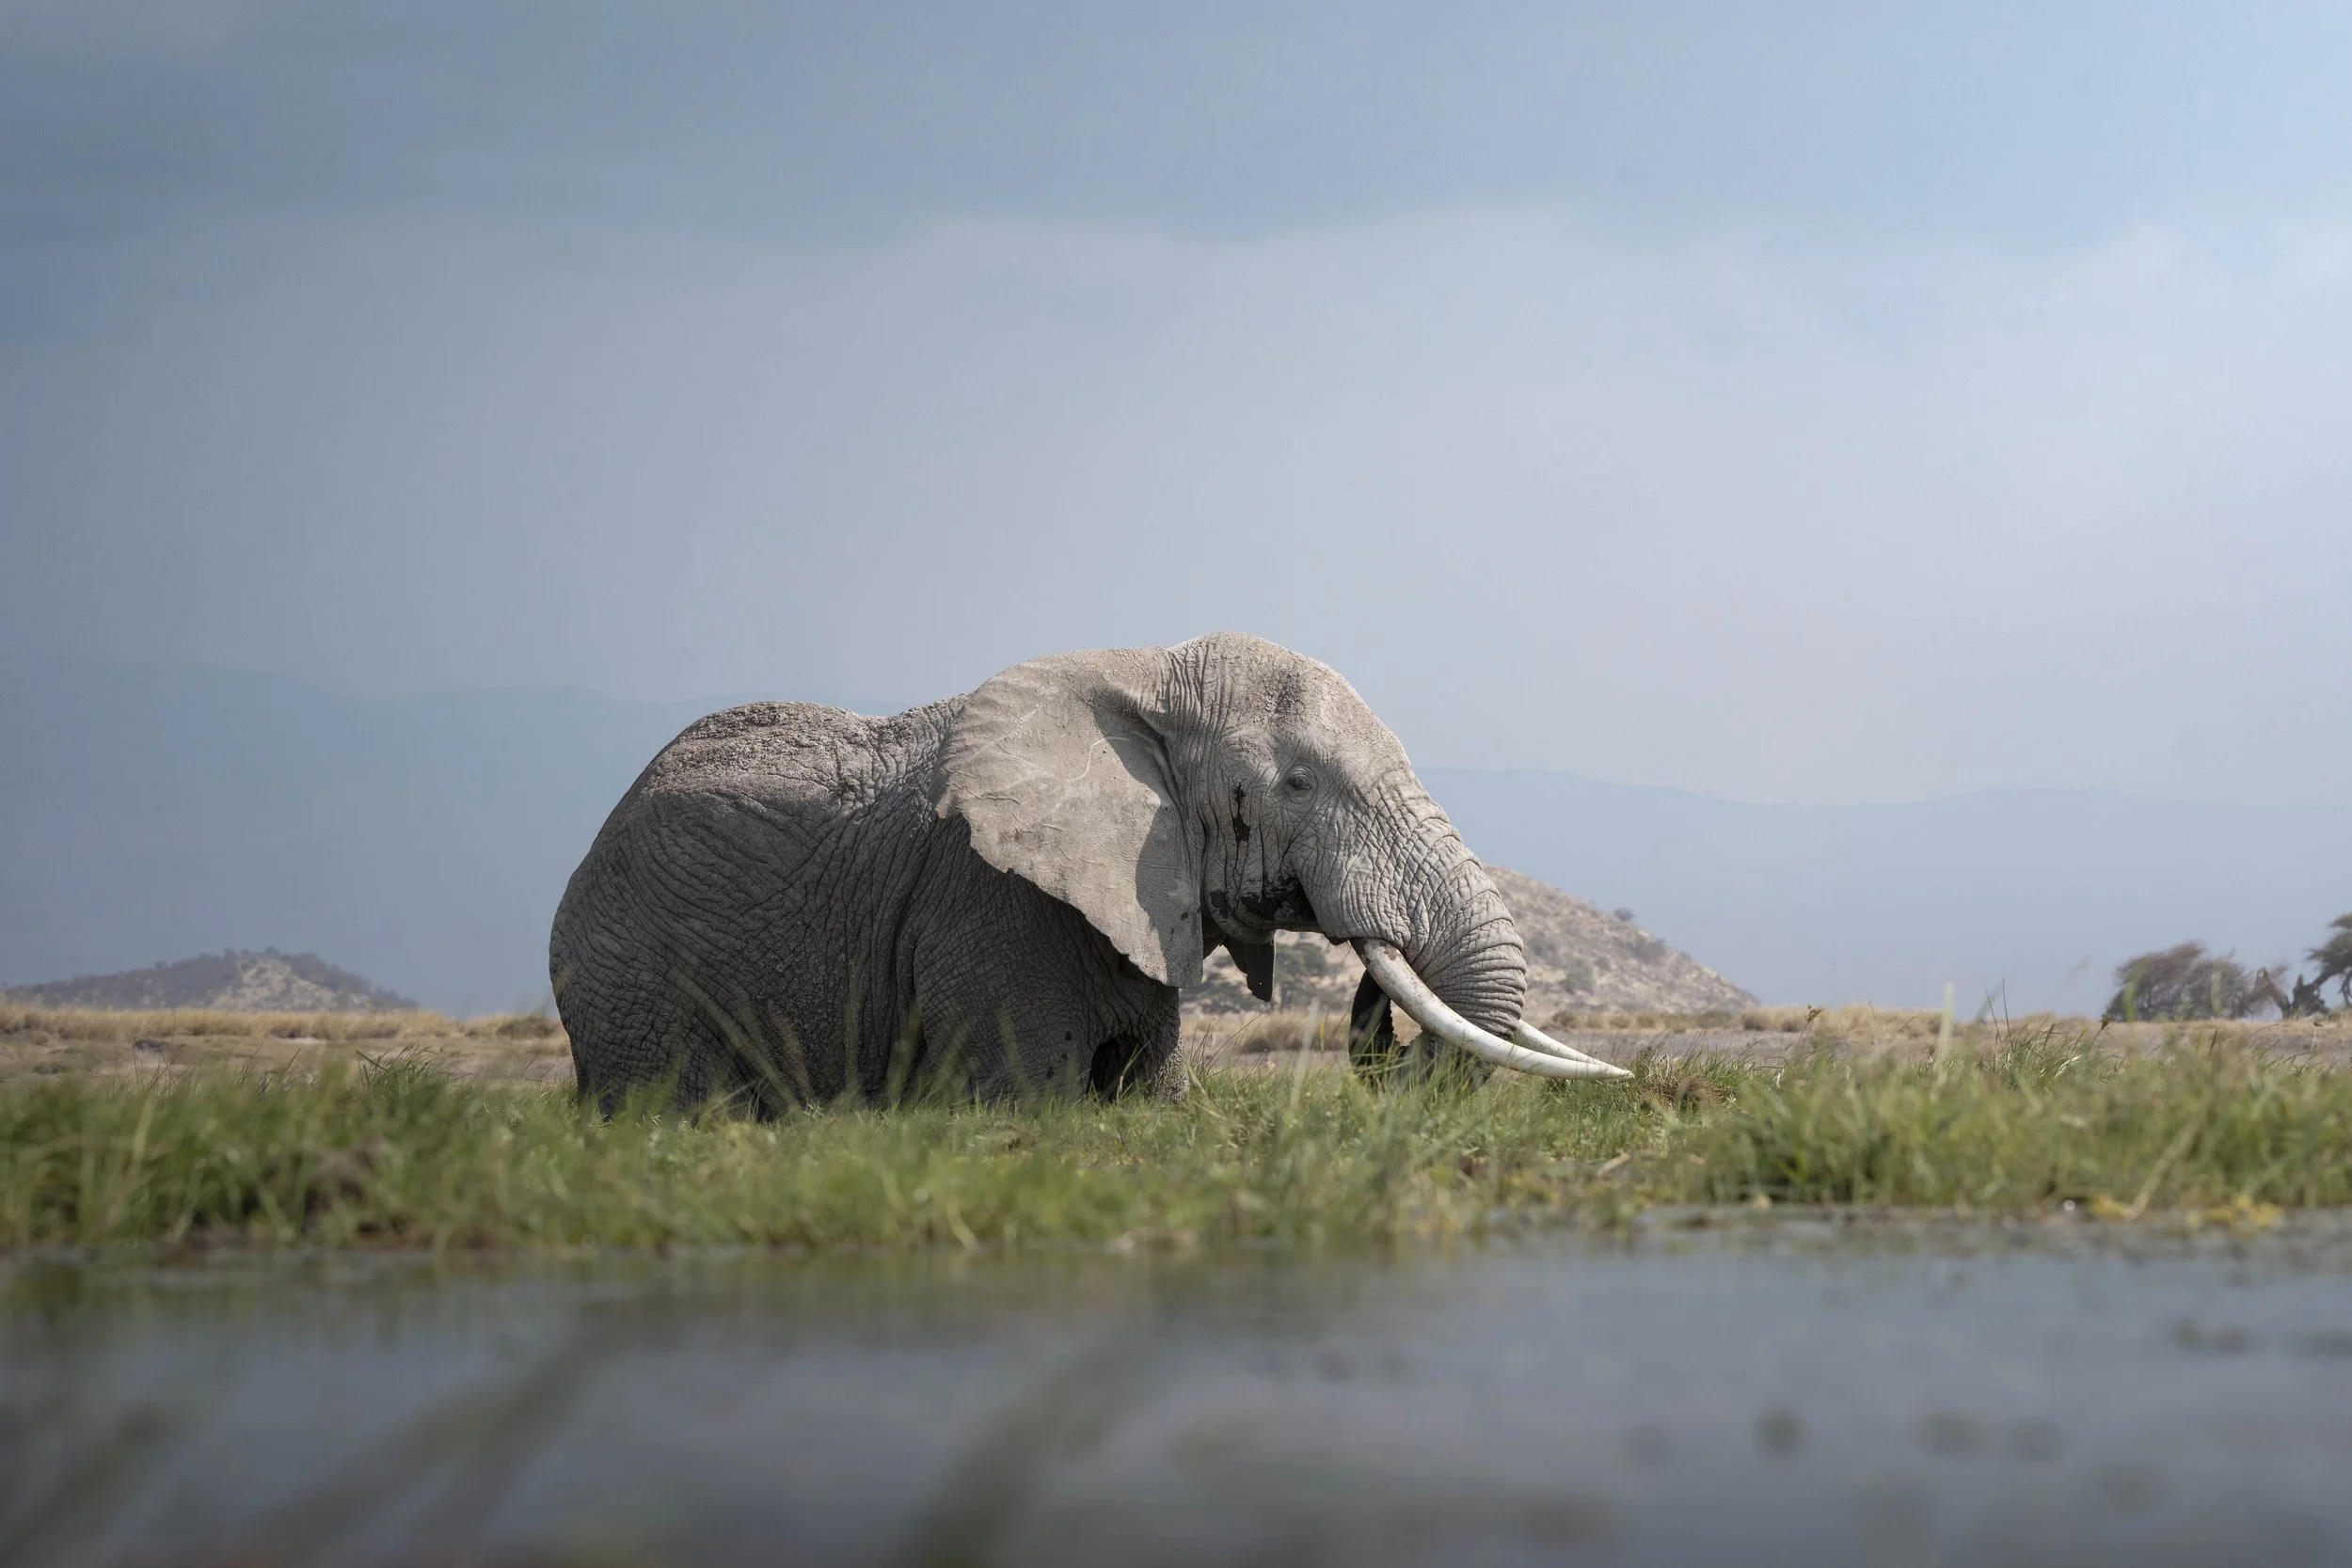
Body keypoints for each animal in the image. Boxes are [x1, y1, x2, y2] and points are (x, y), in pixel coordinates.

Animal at [550, 632, 1628, 1109]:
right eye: (1296, 783)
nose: (1372, 980)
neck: (1147, 673)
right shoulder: (990, 902)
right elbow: (1038, 1107)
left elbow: (1152, 1096)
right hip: (633, 979)